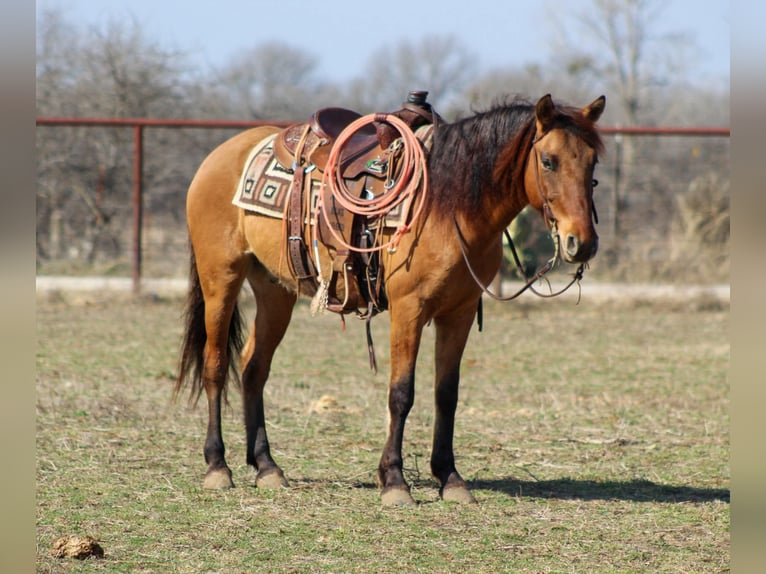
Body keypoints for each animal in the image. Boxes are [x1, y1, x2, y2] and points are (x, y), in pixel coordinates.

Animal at [174, 94, 608, 508]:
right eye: (548, 161)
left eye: (592, 162)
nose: (581, 243)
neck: (449, 204)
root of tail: (219, 155)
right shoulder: (409, 309)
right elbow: (402, 393)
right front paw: (395, 481)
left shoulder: (460, 312)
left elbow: (446, 395)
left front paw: (449, 478)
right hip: (221, 278)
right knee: (216, 365)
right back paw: (218, 466)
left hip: (275, 290)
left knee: (253, 368)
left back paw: (266, 467)